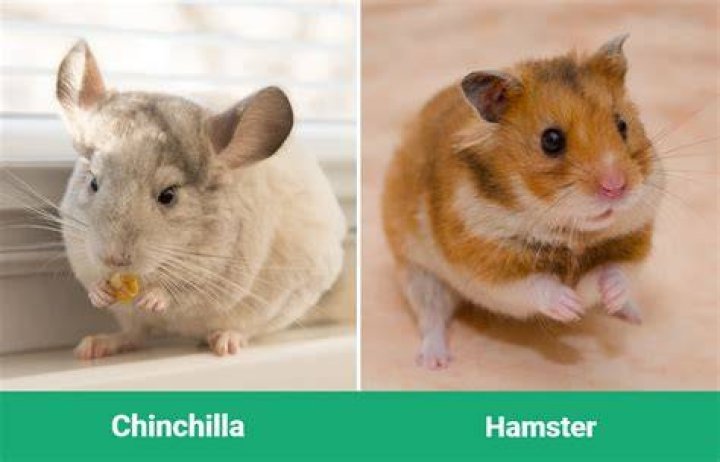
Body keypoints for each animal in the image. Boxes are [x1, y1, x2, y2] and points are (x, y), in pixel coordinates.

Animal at [55, 40, 346, 359]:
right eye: (93, 182)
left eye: (168, 195)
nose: (113, 259)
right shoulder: (81, 254)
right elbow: (96, 284)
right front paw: (100, 292)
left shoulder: (215, 274)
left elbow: (184, 293)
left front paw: (154, 299)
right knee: (135, 334)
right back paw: (96, 345)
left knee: (248, 329)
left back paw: (226, 341)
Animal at [382, 35, 664, 369]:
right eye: (551, 140)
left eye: (622, 125)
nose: (616, 187)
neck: (573, 234)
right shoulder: (487, 263)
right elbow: (536, 285)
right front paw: (572, 307)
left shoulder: (632, 241)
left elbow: (613, 271)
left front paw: (605, 297)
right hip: (418, 273)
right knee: (431, 317)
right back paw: (434, 362)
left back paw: (633, 314)